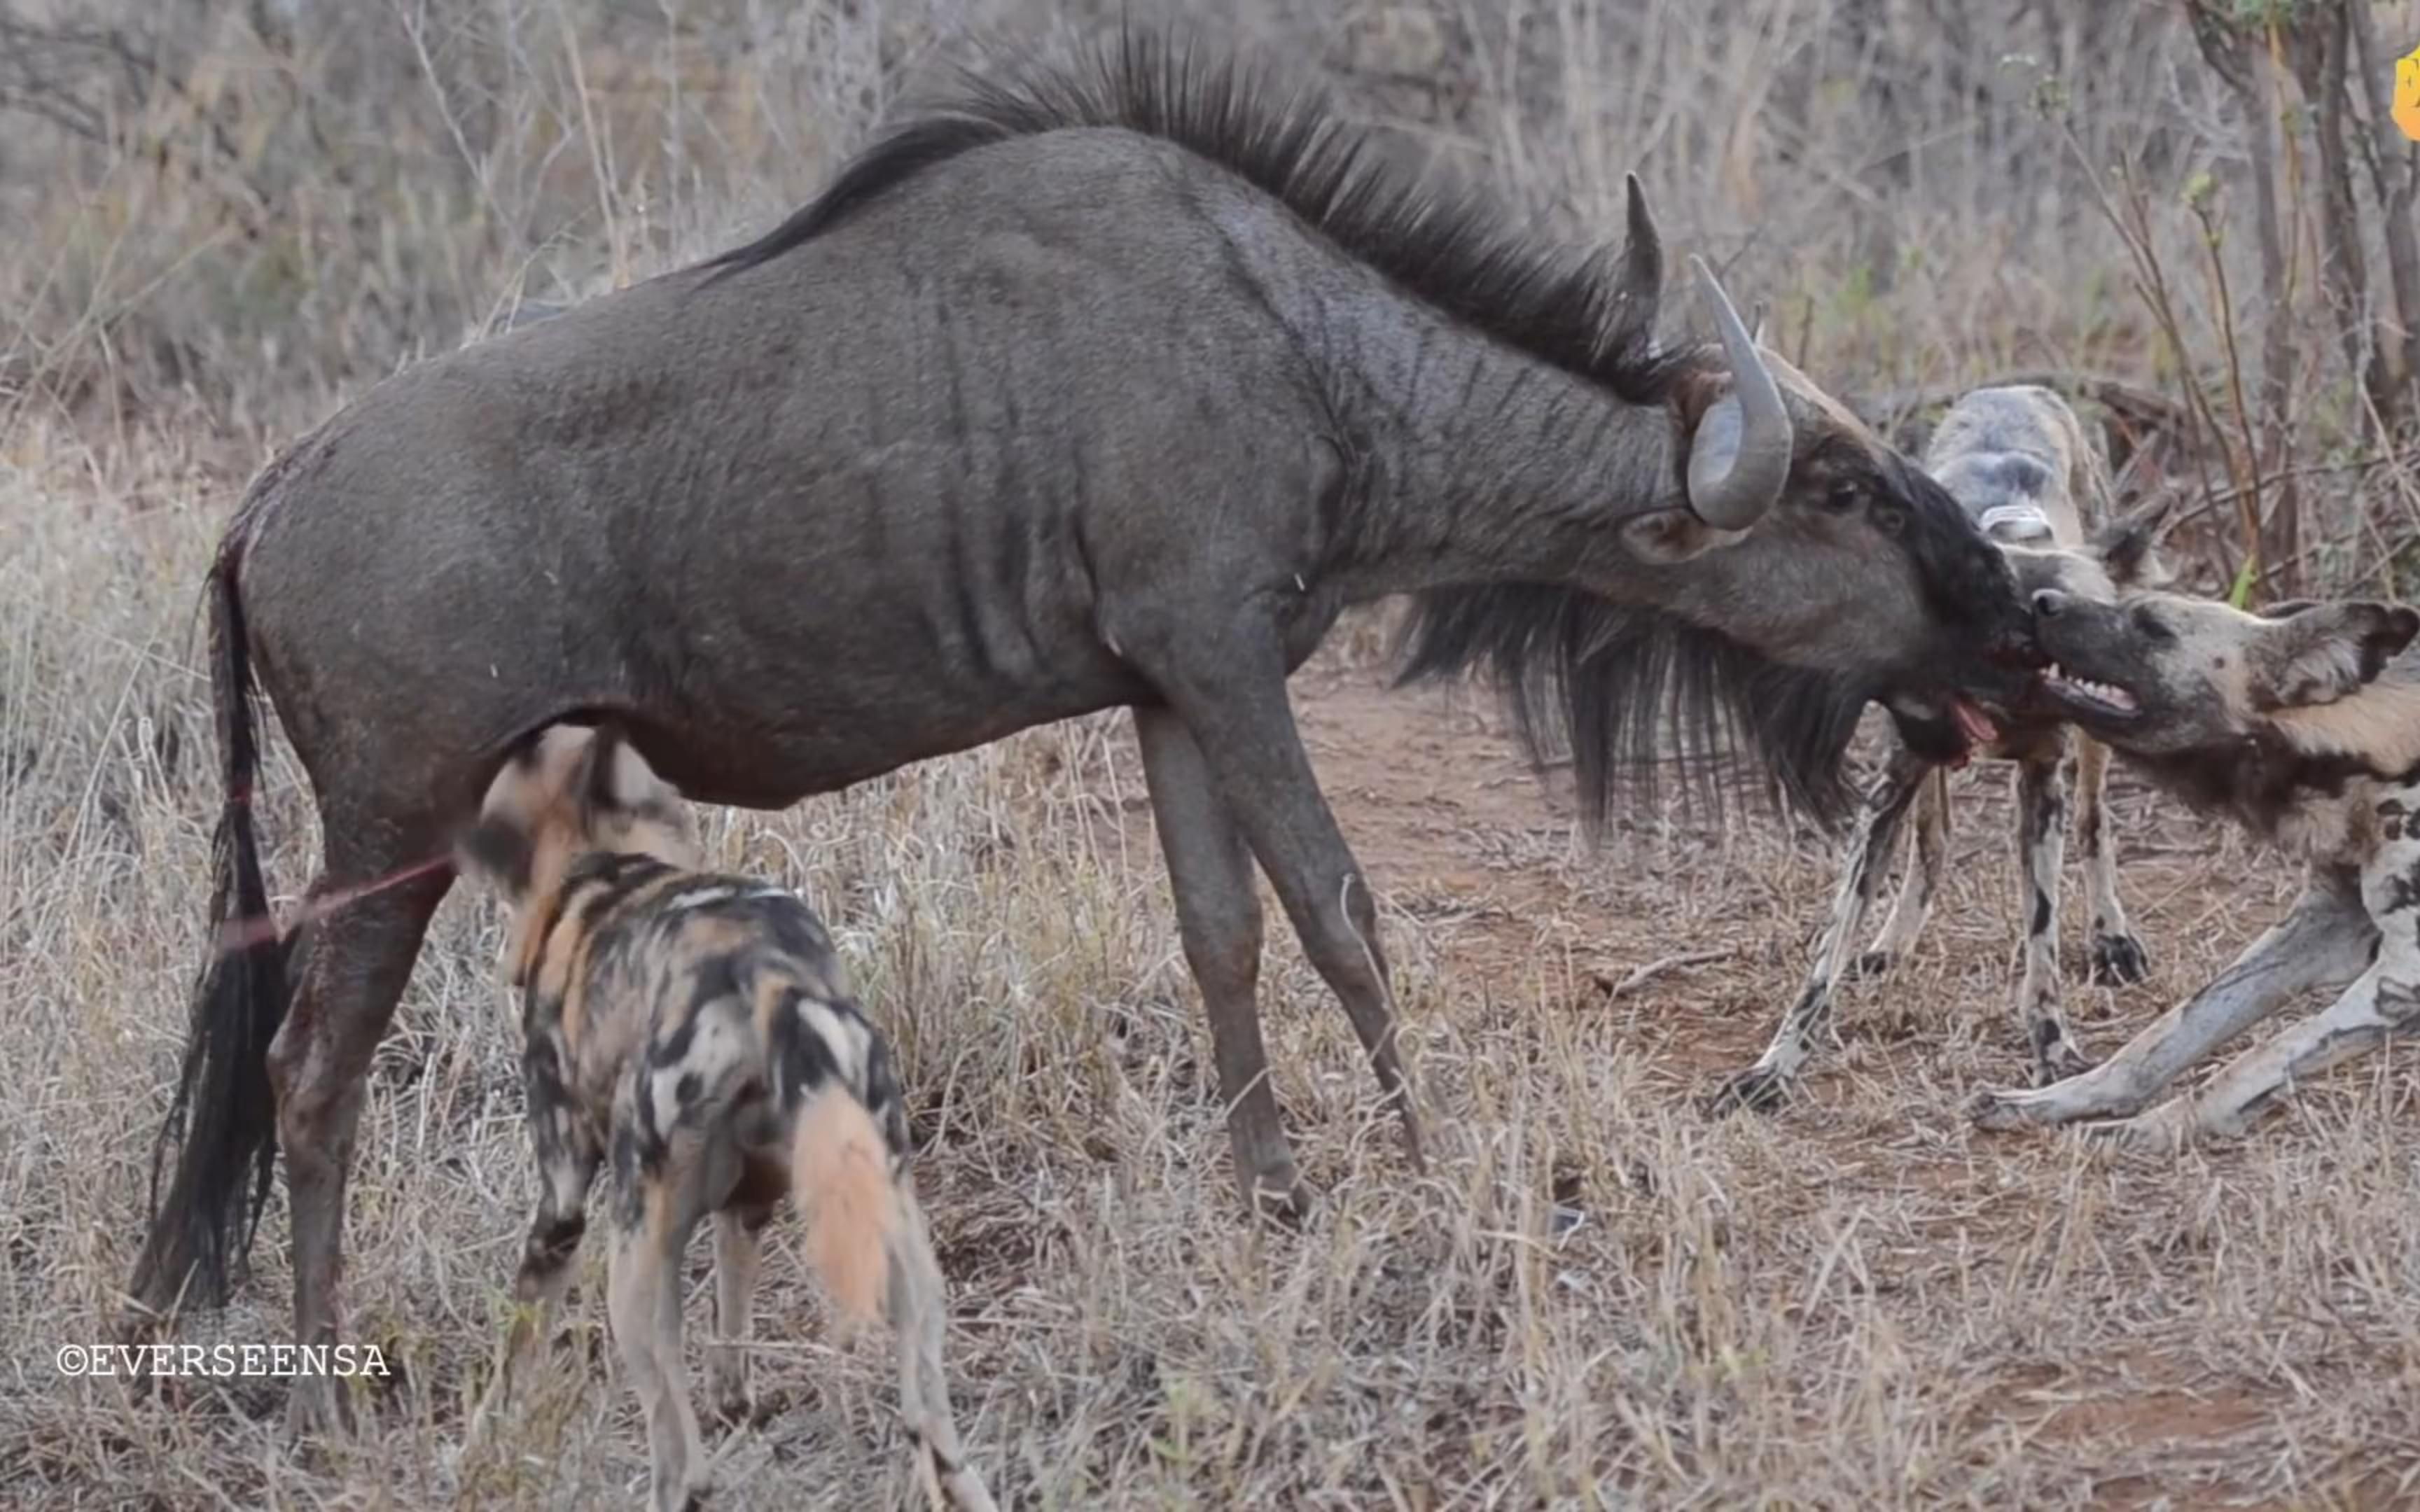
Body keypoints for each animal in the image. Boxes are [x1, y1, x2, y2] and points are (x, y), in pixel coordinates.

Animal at [454, 720, 992, 1509]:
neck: (598, 865)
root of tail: (765, 974)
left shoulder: (563, 1210)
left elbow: (516, 1356)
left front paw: (474, 1449)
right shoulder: (746, 1208)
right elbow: (730, 1340)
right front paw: (736, 1406)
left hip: (629, 1266)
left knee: (679, 1456)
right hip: (903, 1253)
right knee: (937, 1433)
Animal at [1713, 382, 2168, 1112]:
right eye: (2017, 616)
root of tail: (2019, 388)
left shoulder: (2043, 786)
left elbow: (2041, 940)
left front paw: (2052, 1048)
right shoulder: (1890, 789)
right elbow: (1826, 958)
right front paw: (1776, 1067)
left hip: (2089, 757)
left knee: (2096, 827)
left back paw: (2112, 937)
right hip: (1922, 771)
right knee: (1935, 840)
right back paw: (1893, 942)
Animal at [1965, 582, 2420, 1152]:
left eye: (2155, 627)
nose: (2043, 597)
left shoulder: (2399, 976)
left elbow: (2252, 1064)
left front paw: (2142, 1131)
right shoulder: (2327, 923)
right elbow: (2166, 1036)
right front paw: (2059, 1102)